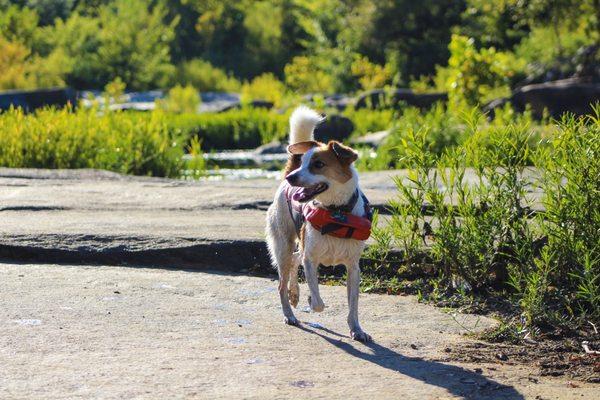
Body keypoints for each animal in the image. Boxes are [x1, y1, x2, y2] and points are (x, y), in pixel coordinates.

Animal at [266, 104, 372, 342]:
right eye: (304, 163)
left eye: (318, 164)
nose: (292, 178)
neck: (337, 212)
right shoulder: (311, 259)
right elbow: (318, 302)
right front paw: (309, 300)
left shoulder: (353, 267)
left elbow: (354, 305)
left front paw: (357, 329)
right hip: (283, 245)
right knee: (282, 281)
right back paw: (289, 312)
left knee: (295, 260)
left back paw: (294, 294)